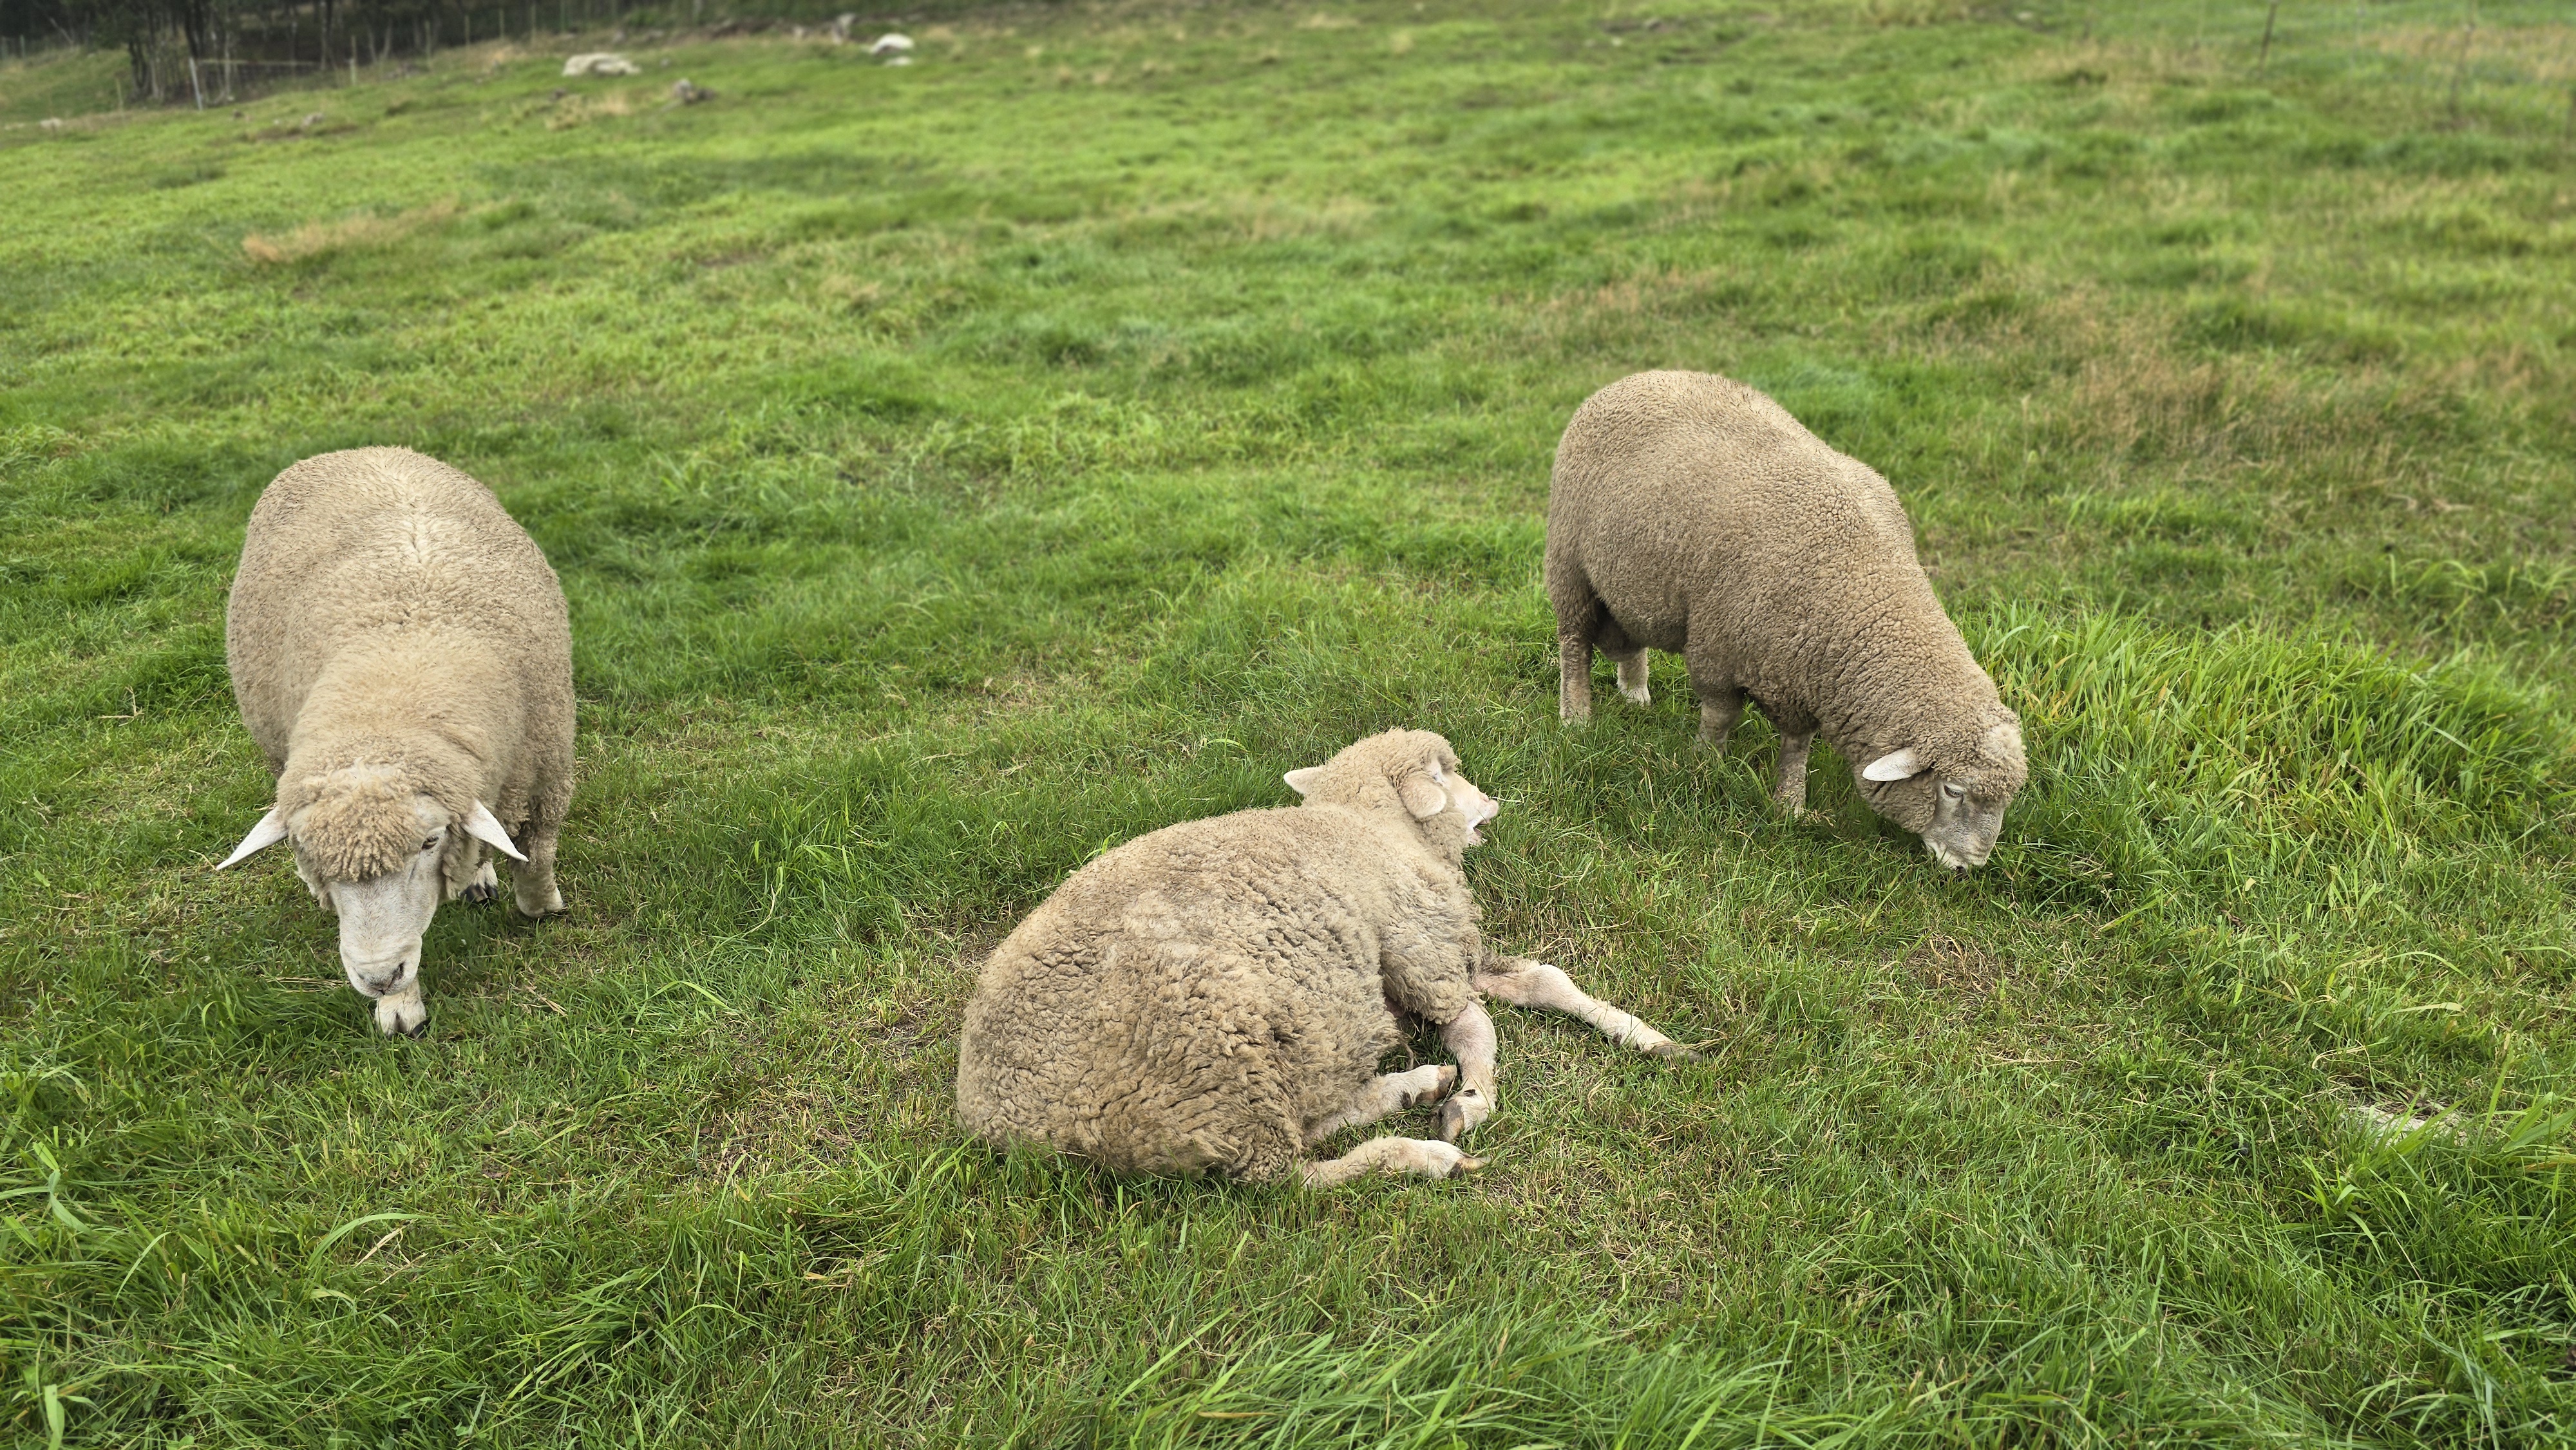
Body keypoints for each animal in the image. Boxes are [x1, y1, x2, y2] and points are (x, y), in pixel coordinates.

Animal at [215, 448, 574, 1040]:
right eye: (306, 854)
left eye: (429, 842)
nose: (379, 977)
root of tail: (359, 451)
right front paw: (400, 1005)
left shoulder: (546, 777)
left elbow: (536, 858)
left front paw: (542, 907)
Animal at [948, 731, 1690, 1185]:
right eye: (1448, 774)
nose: (1494, 802)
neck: (1367, 825)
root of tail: (1006, 1125)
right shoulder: (1418, 949)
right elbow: (1477, 1029)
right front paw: (1474, 1097)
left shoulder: (1438, 951)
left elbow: (1546, 979)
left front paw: (1647, 1036)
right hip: (1215, 1058)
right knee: (1295, 1175)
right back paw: (1427, 1150)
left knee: (1313, 1124)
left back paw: (1411, 1086)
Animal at [1546, 373, 2030, 876]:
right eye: (1953, 791)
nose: (1968, 867)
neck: (1863, 583)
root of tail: (1634, 379)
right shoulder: (1718, 649)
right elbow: (1720, 716)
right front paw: (1707, 764)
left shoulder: (1801, 674)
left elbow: (1797, 745)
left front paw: (1790, 806)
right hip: (1571, 562)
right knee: (1574, 643)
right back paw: (1577, 717)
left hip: (1635, 581)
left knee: (1629, 639)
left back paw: (1635, 691)